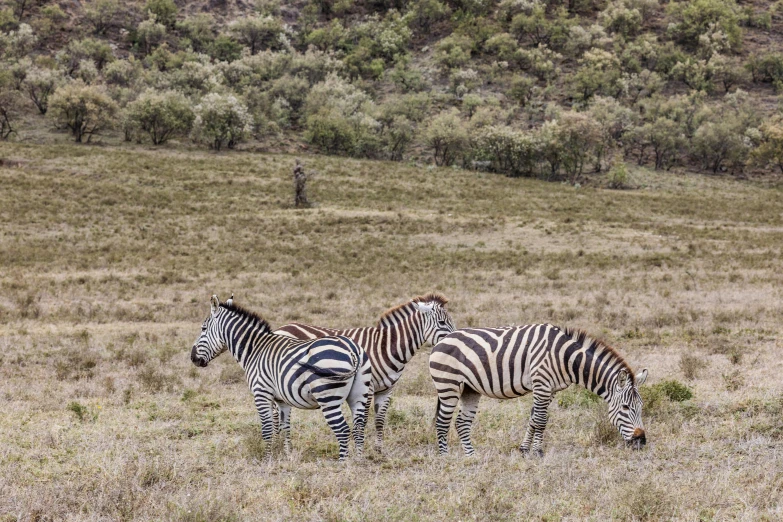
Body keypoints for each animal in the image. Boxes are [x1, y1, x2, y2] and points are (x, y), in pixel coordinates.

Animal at [190, 294, 374, 462]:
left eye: (203, 328)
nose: (192, 358)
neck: (254, 349)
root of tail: (352, 349)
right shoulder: (282, 400)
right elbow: (285, 427)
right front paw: (286, 455)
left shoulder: (261, 393)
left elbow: (267, 429)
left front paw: (267, 460)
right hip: (359, 394)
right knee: (358, 427)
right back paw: (358, 462)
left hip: (328, 398)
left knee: (343, 430)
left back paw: (342, 465)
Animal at [274, 292, 454, 446]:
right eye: (442, 323)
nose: (452, 340)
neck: (385, 347)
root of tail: (281, 327)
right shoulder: (367, 388)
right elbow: (363, 420)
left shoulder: (387, 390)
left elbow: (379, 420)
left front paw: (379, 449)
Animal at [428, 324, 648, 456]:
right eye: (626, 407)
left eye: (641, 407)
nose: (641, 441)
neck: (565, 357)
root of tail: (441, 341)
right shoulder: (542, 383)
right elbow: (541, 420)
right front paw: (538, 452)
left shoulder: (550, 389)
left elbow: (534, 418)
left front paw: (525, 449)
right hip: (448, 385)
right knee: (442, 422)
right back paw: (445, 456)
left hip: (469, 389)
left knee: (461, 422)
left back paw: (471, 456)